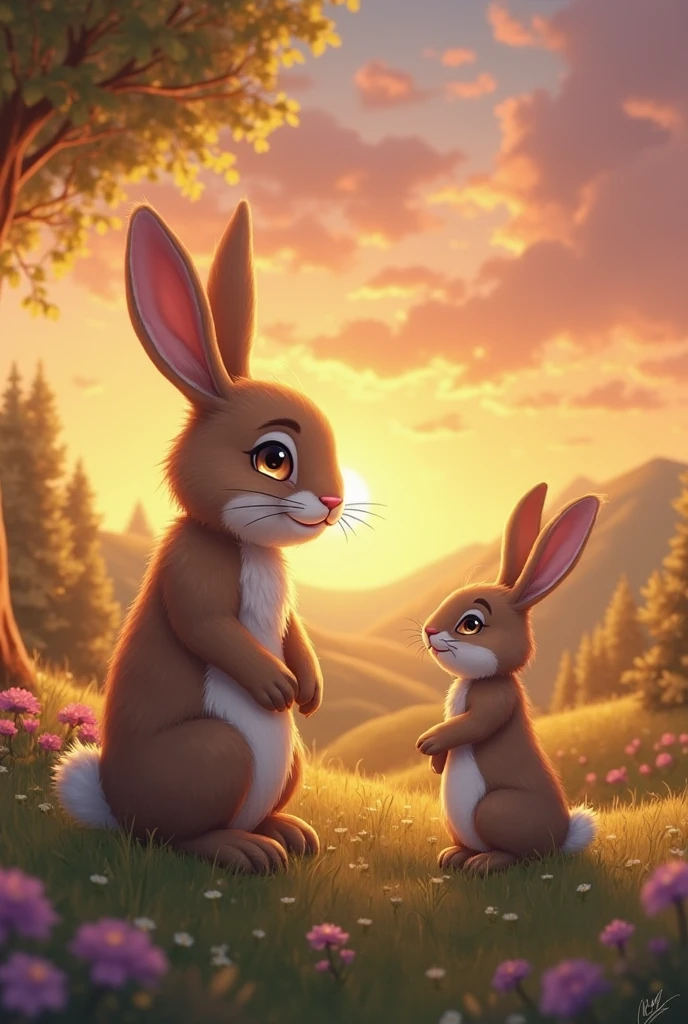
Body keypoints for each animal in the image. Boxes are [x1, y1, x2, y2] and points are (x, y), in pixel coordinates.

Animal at [53, 199, 345, 874]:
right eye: (274, 458)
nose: (334, 503)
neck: (243, 543)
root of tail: (113, 805)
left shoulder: (284, 614)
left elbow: (294, 632)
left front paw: (310, 689)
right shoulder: (193, 572)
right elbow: (207, 626)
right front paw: (277, 686)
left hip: (287, 760)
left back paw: (290, 834)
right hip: (217, 752)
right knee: (175, 836)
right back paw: (245, 850)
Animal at [415, 483, 601, 876]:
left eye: (471, 623)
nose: (429, 630)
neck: (479, 678)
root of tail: (563, 837)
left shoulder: (497, 698)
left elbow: (472, 724)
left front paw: (429, 743)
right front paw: (436, 763)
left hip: (495, 809)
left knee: (522, 855)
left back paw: (484, 863)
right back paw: (454, 857)